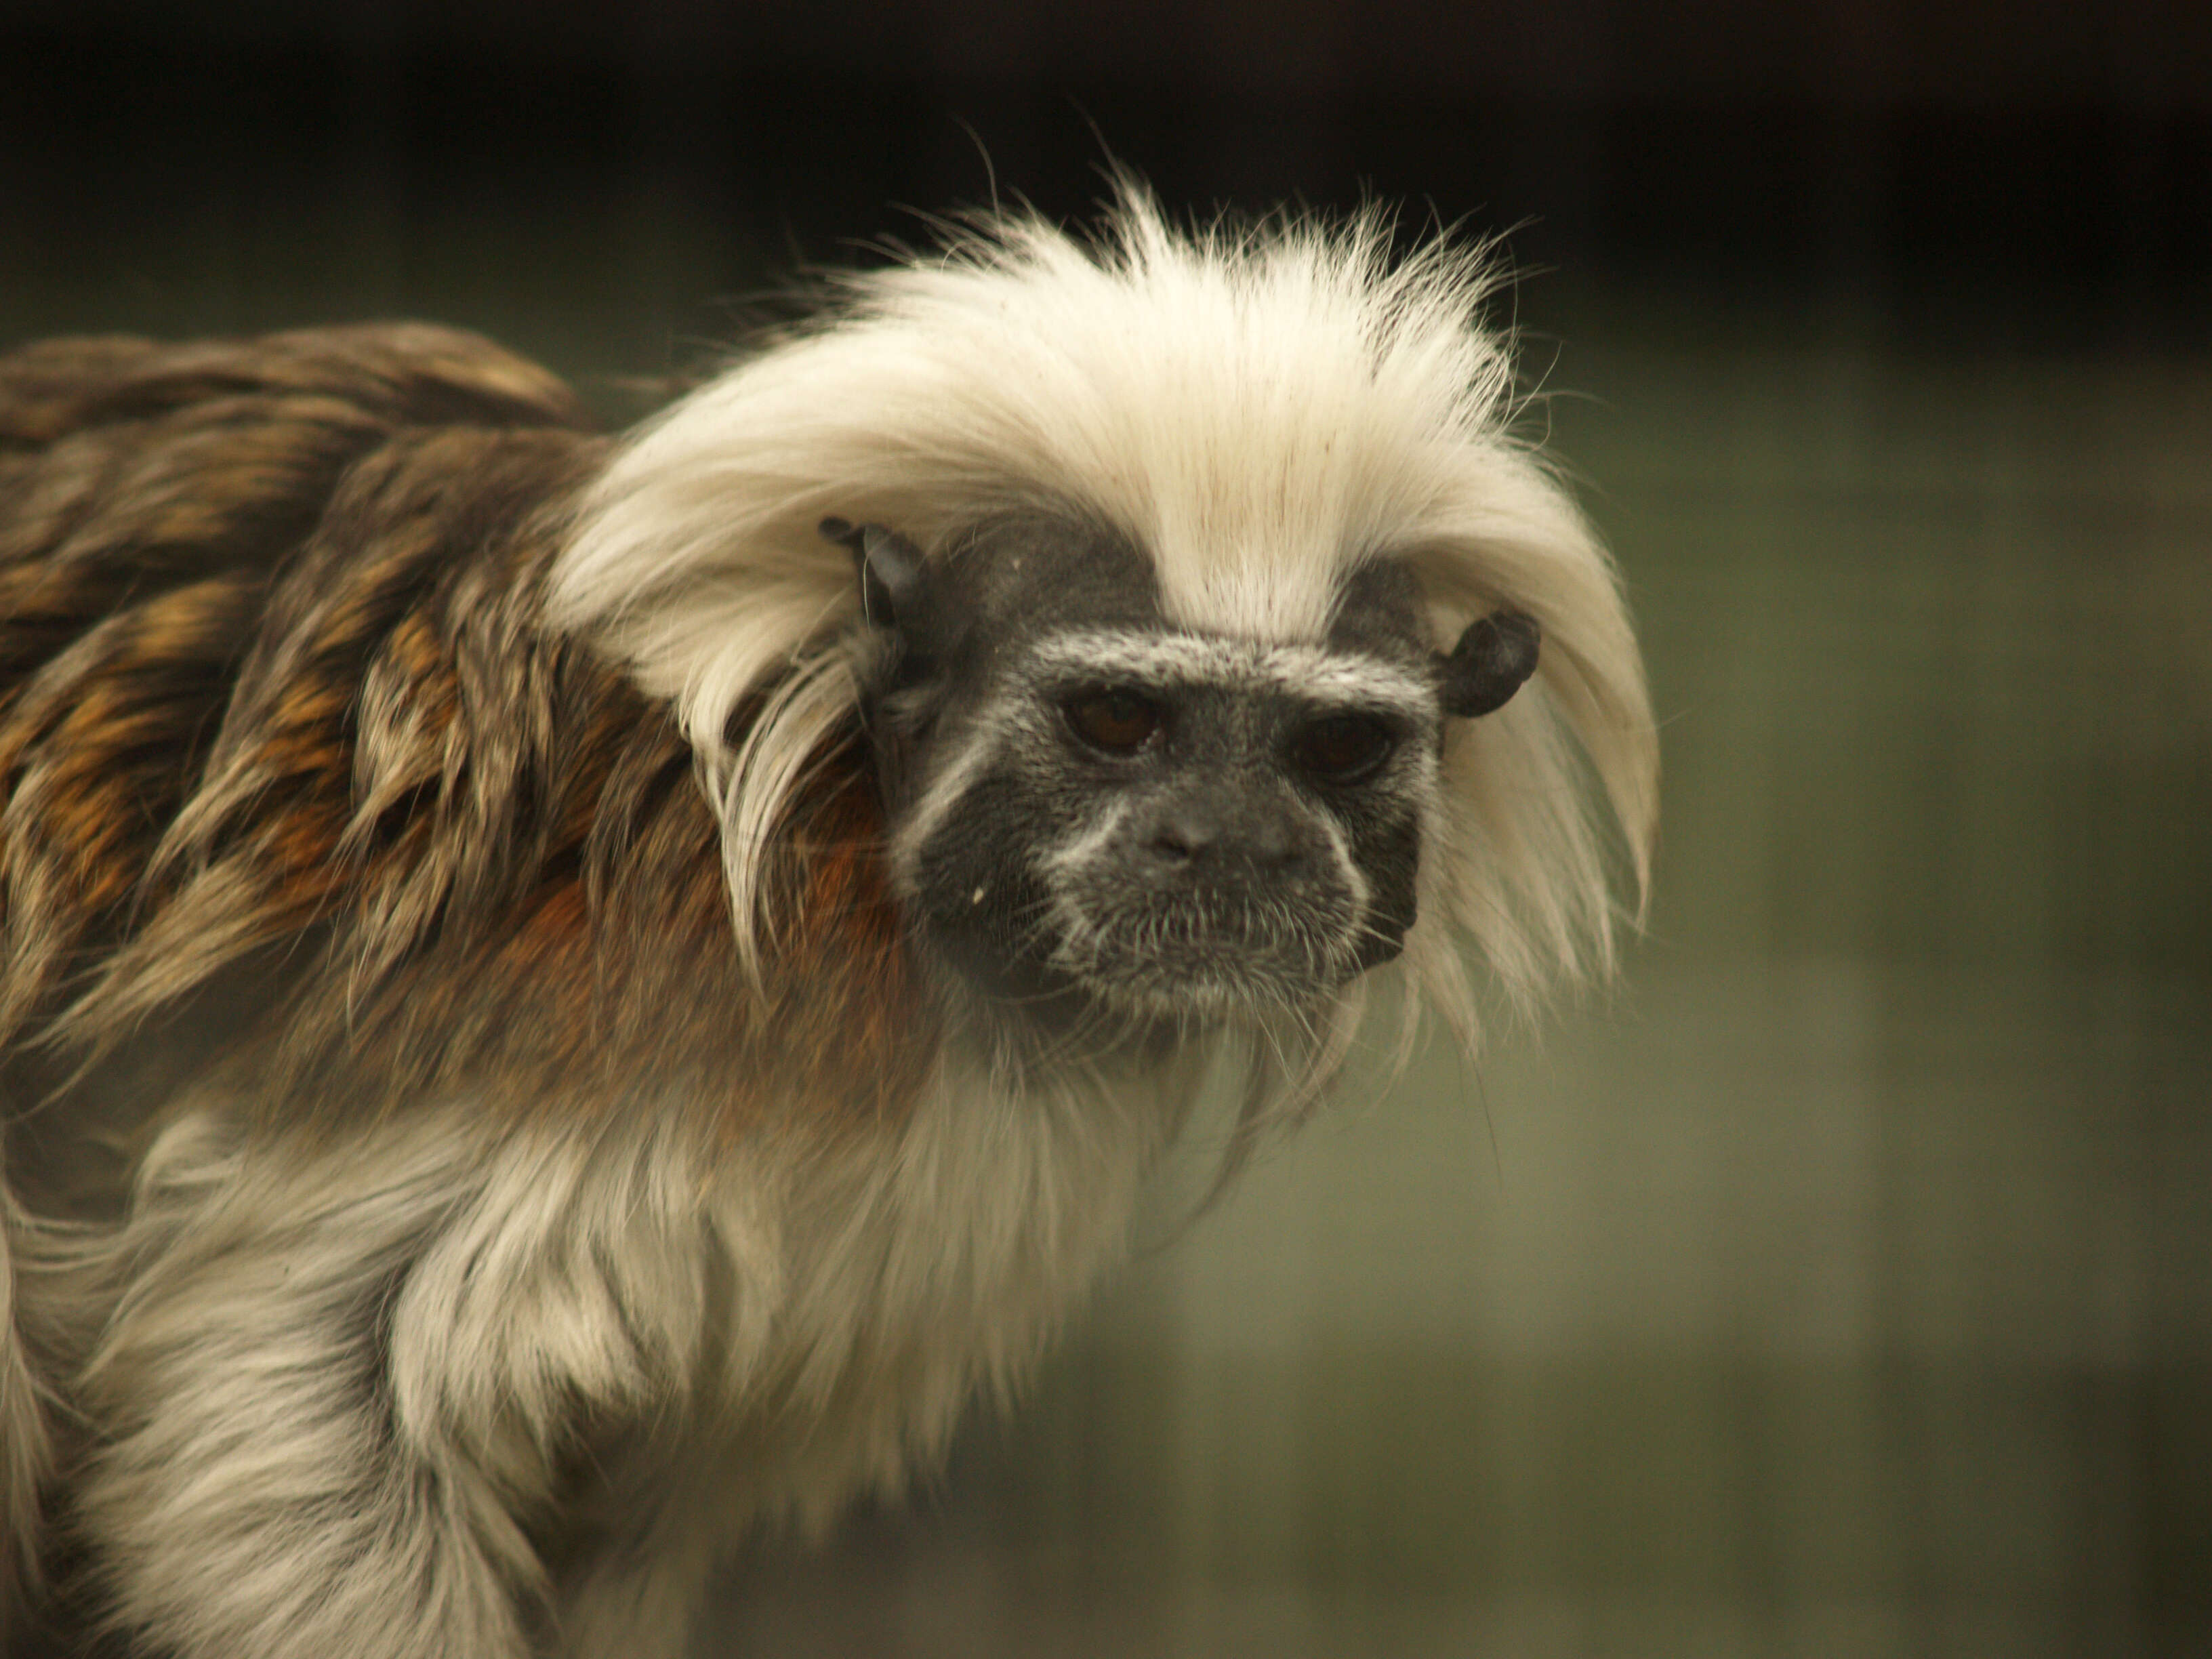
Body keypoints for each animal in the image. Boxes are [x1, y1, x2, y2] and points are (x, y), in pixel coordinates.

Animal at [0, 188, 1663, 1654]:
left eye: (1333, 750)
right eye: (1118, 720)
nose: (1228, 844)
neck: (847, 814)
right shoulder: (643, 997)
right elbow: (288, 1375)